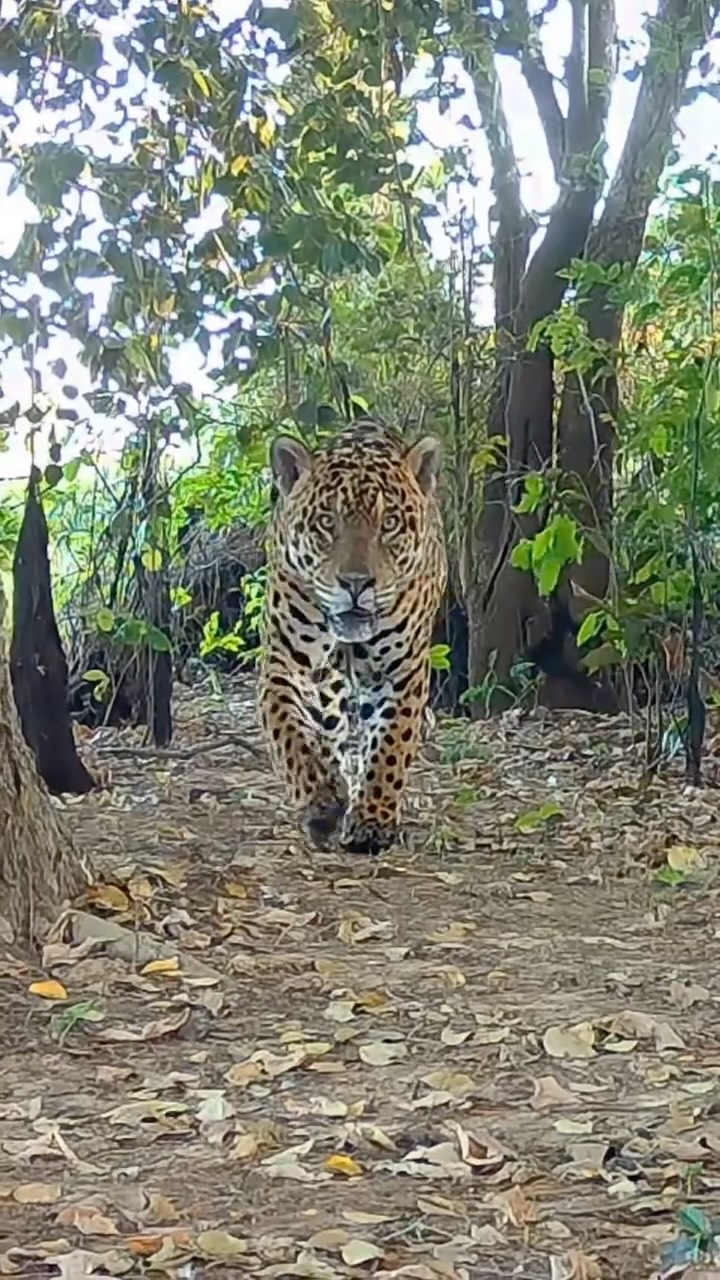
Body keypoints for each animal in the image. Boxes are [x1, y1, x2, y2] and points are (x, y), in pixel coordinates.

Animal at [258, 418, 447, 856]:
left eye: (389, 523)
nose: (356, 583)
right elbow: (289, 731)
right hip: (327, 687)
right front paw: (321, 801)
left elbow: (391, 743)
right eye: (328, 522)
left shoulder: (402, 671)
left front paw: (373, 820)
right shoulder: (285, 664)